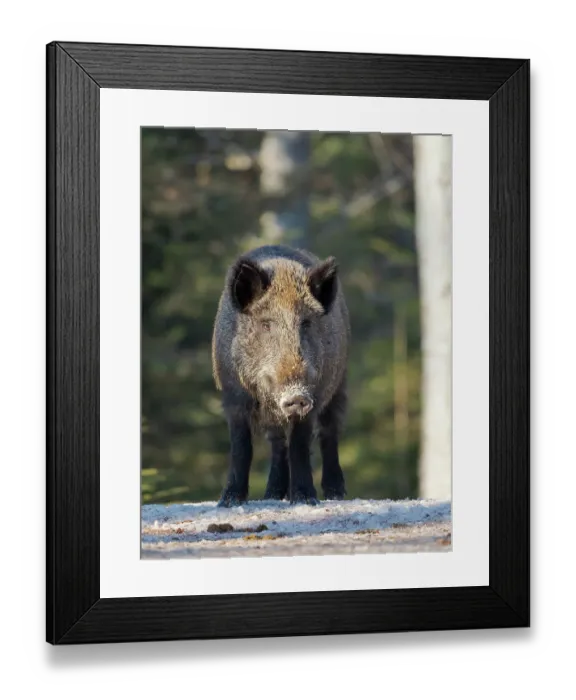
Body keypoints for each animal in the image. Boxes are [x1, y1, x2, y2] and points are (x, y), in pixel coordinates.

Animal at [211, 244, 350, 507]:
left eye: (306, 323)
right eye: (266, 324)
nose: (297, 395)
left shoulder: (314, 396)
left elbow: (300, 445)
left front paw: (305, 500)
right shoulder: (233, 397)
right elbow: (241, 447)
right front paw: (229, 501)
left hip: (340, 383)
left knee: (329, 430)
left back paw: (336, 494)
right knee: (277, 443)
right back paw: (272, 495)